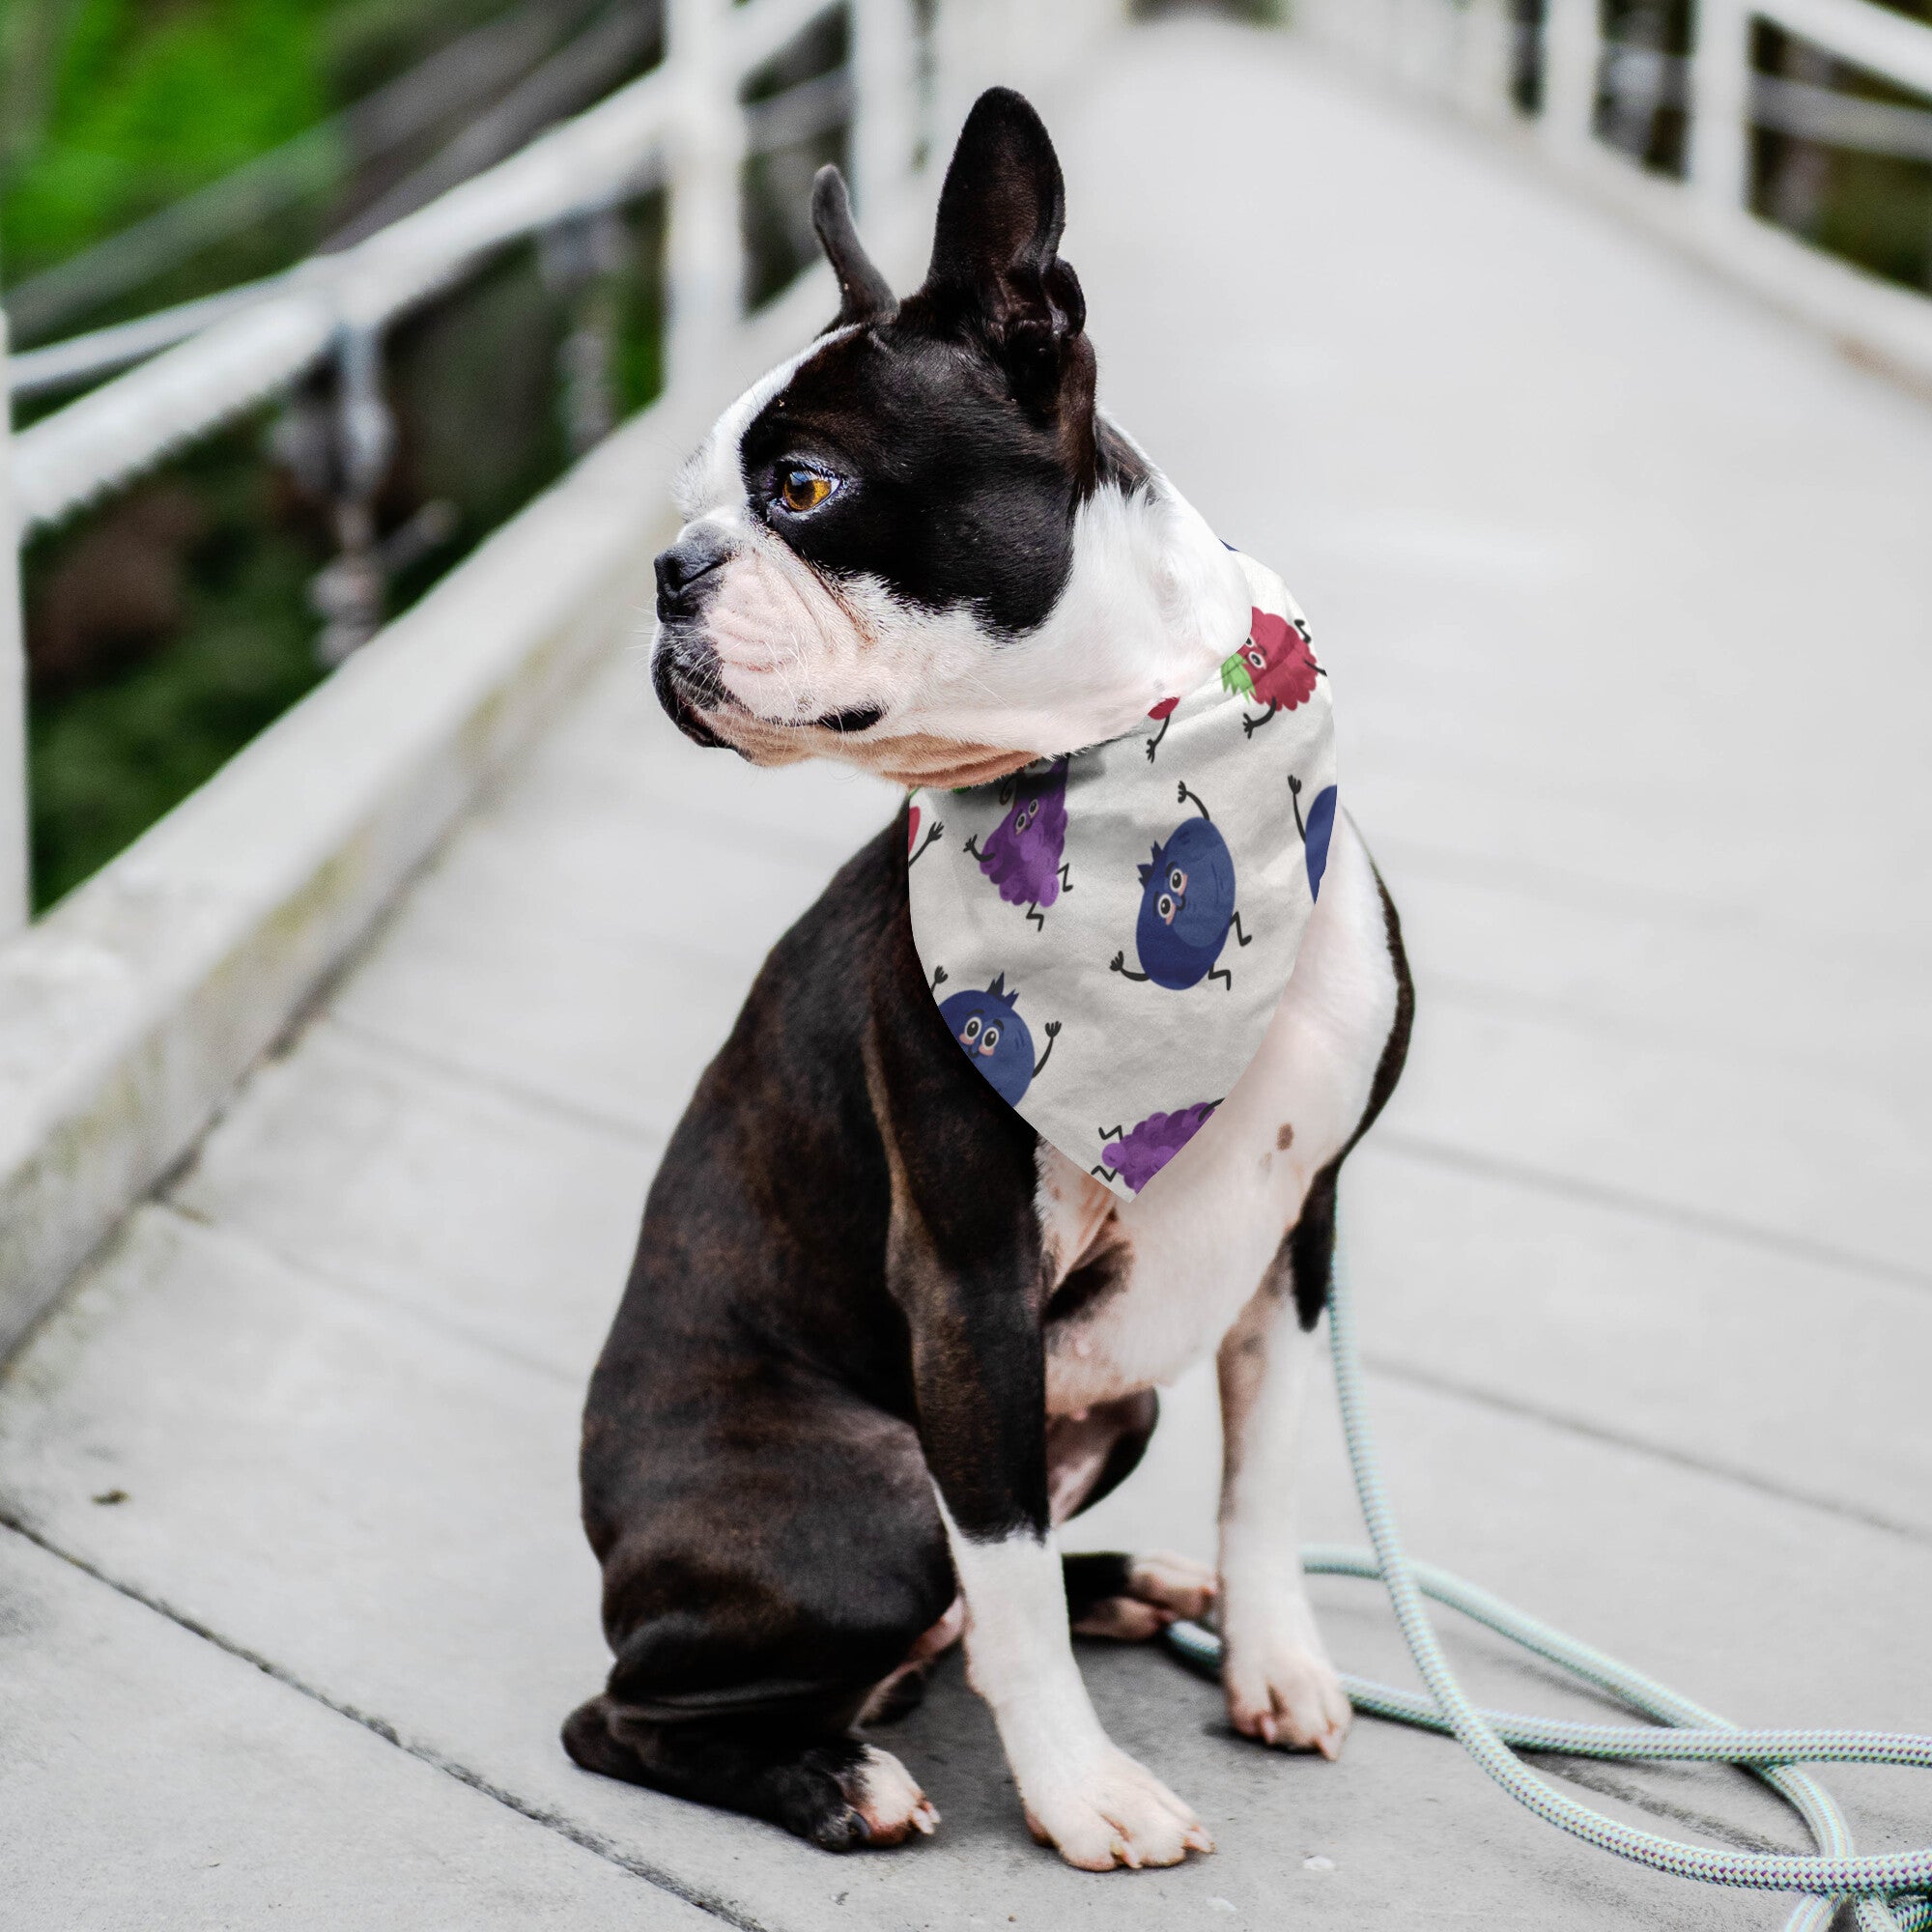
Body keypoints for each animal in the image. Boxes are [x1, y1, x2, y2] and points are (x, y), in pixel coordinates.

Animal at [564, 91, 1414, 1870]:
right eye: (697, 500)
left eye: (804, 486)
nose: (669, 572)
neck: (1121, 768)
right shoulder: (968, 1284)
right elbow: (1005, 1573)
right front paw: (1083, 1792)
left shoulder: (1297, 1239)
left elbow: (1267, 1479)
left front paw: (1274, 1658)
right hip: (875, 1496)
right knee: (641, 1709)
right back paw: (837, 1777)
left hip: (1112, 1408)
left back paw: (1134, 1588)